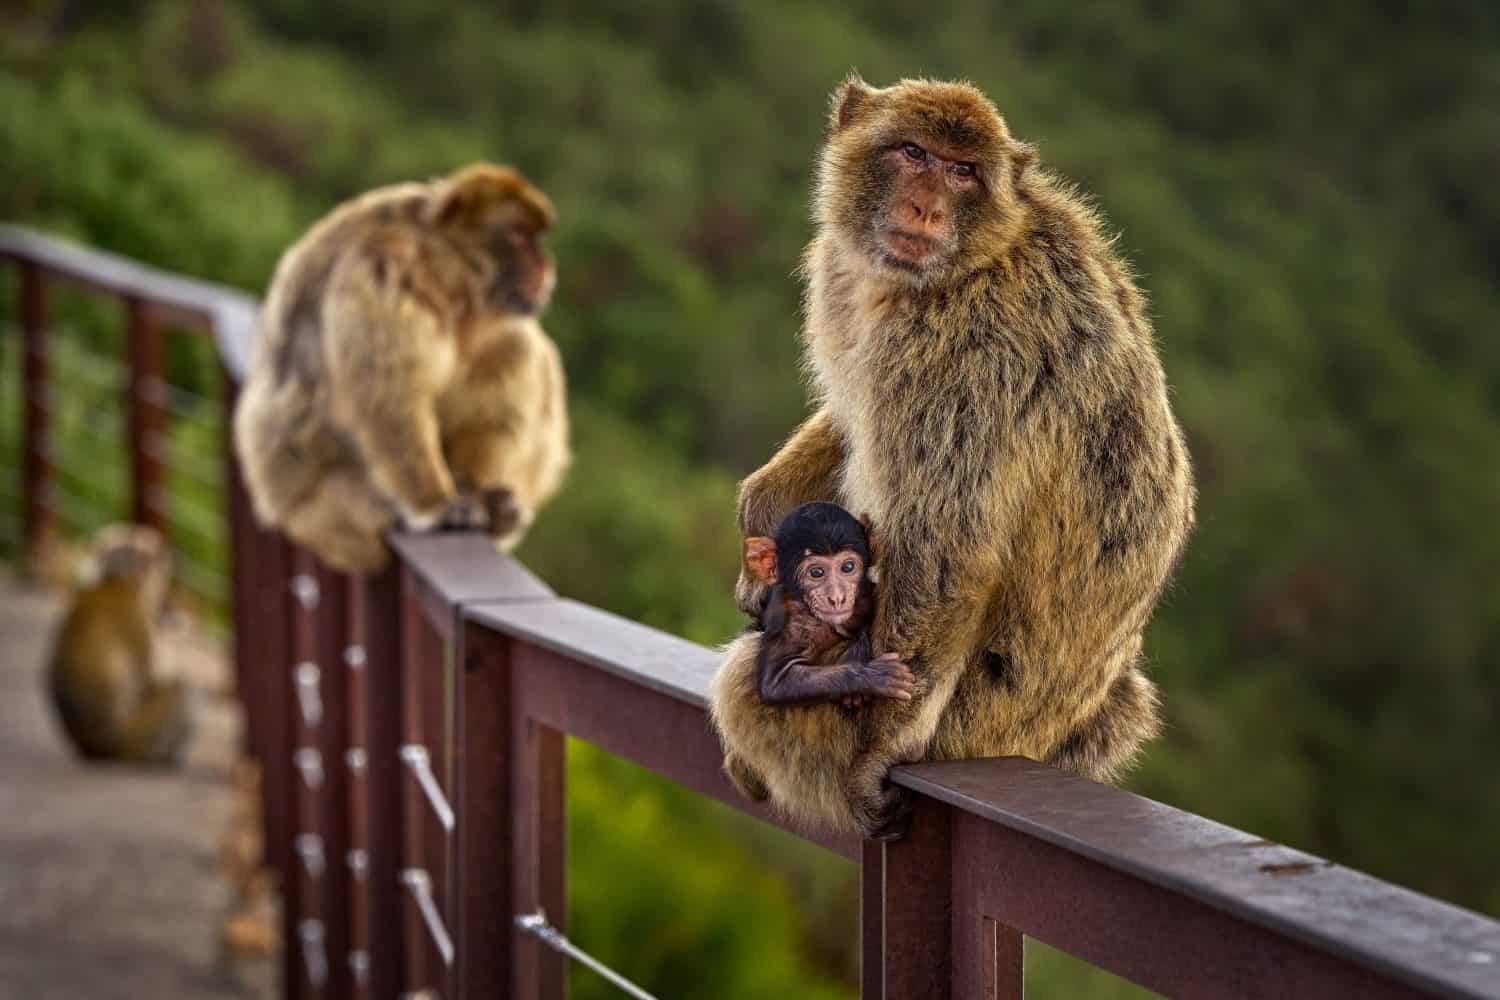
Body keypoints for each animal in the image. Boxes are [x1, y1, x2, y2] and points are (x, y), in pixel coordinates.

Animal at [47, 523, 194, 765]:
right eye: (145, 555)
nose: (160, 550)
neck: (113, 582)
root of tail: (97, 749)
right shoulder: (136, 614)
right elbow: (146, 682)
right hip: (136, 738)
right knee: (182, 690)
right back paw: (163, 757)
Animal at [233, 162, 571, 573]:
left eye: (537, 238)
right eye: (520, 236)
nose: (545, 265)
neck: (444, 275)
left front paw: (476, 492)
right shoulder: (382, 268)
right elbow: (391, 398)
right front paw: (436, 502)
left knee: (517, 347)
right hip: (327, 511)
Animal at [746, 501, 914, 709]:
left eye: (848, 567)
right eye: (816, 572)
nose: (837, 597)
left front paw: (859, 648)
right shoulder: (791, 621)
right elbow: (777, 680)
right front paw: (871, 676)